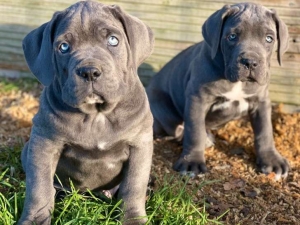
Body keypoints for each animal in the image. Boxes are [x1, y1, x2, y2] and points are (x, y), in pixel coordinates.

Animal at [18, 0, 154, 224]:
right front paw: (36, 219)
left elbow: (134, 186)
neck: (96, 115)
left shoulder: (139, 144)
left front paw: (133, 219)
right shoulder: (43, 144)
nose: (89, 71)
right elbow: (39, 187)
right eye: (63, 47)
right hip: (27, 150)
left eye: (113, 40)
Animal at [146, 2, 290, 179]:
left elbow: (265, 131)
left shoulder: (260, 101)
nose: (250, 62)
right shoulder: (197, 99)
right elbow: (194, 131)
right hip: (161, 107)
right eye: (232, 36)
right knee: (176, 128)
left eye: (269, 38)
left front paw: (271, 160)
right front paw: (192, 161)